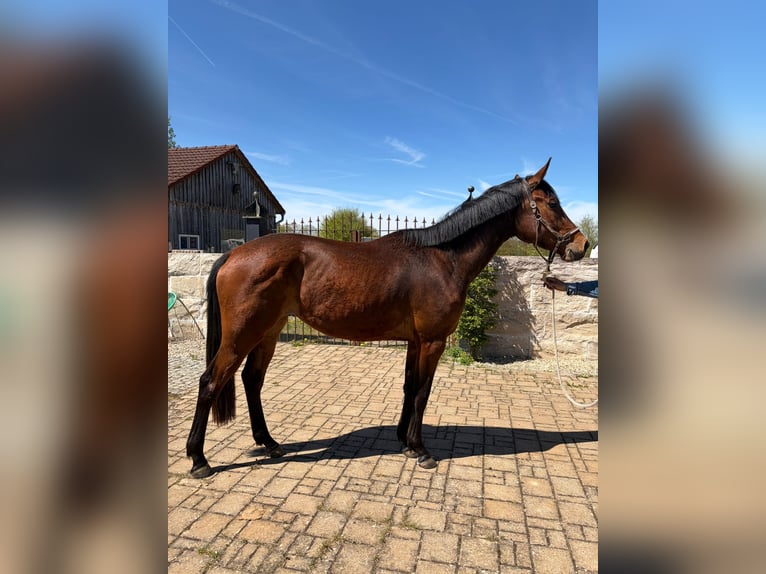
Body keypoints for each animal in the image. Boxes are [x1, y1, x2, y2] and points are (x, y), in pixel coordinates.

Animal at [187, 158, 589, 477]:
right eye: (551, 203)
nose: (582, 245)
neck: (442, 258)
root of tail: (234, 254)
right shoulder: (432, 341)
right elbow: (423, 391)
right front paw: (421, 450)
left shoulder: (415, 341)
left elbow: (410, 387)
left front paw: (403, 441)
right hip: (242, 335)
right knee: (210, 382)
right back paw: (199, 460)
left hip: (268, 331)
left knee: (252, 381)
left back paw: (269, 443)